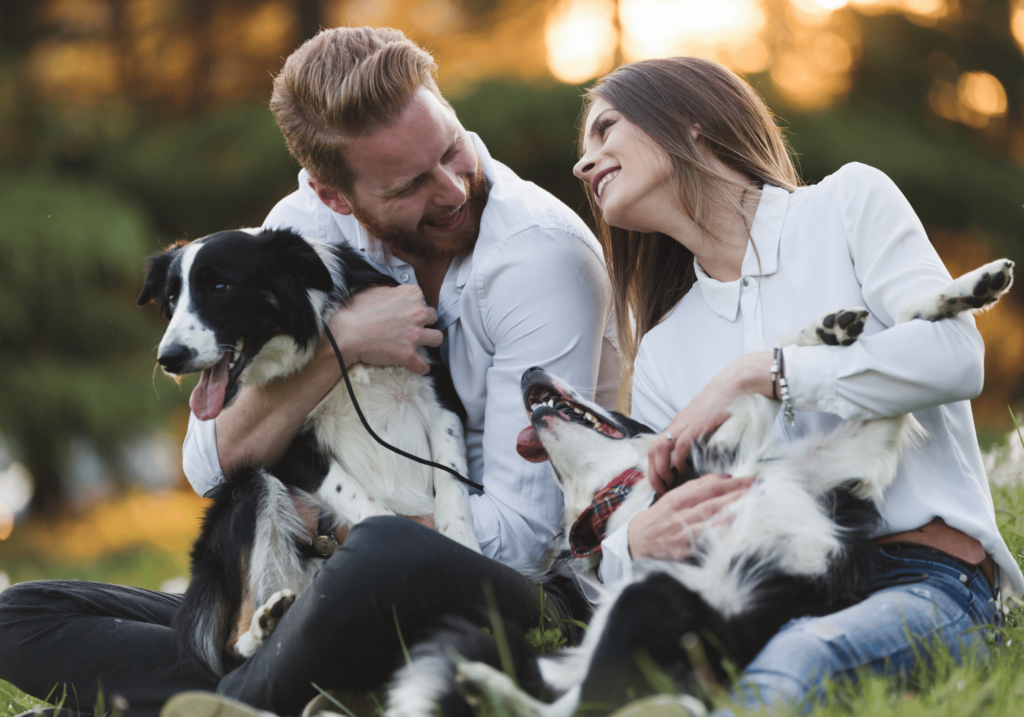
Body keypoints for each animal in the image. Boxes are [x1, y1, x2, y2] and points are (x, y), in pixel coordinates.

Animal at [137, 229, 483, 676]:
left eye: (220, 287)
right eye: (172, 298)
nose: (169, 359)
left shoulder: (442, 399)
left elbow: (451, 486)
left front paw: (465, 549)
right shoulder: (287, 449)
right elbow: (371, 508)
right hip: (250, 488)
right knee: (232, 646)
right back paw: (264, 626)